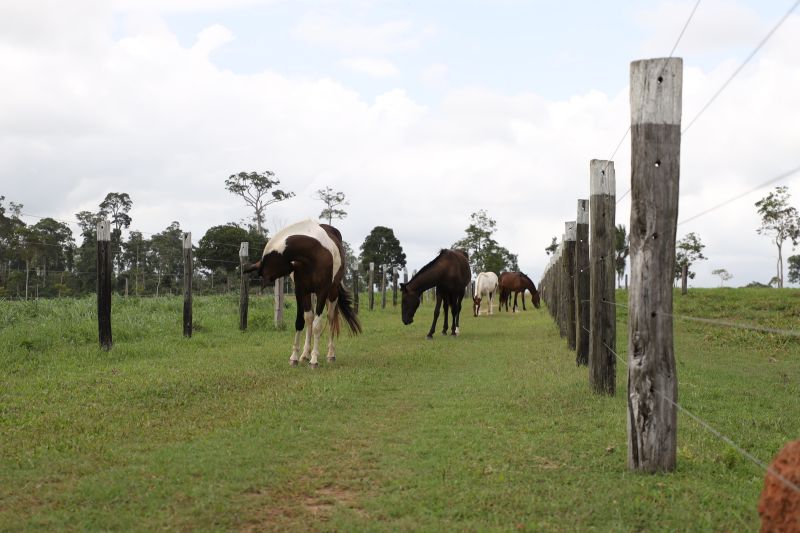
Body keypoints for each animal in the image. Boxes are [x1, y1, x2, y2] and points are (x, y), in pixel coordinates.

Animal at [241, 218, 360, 368]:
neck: (313, 253)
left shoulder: (322, 291)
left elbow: (317, 325)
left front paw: (314, 359)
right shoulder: (300, 290)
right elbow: (300, 321)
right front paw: (295, 357)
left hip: (332, 293)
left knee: (330, 318)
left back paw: (330, 354)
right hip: (309, 294)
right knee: (309, 318)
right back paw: (305, 354)